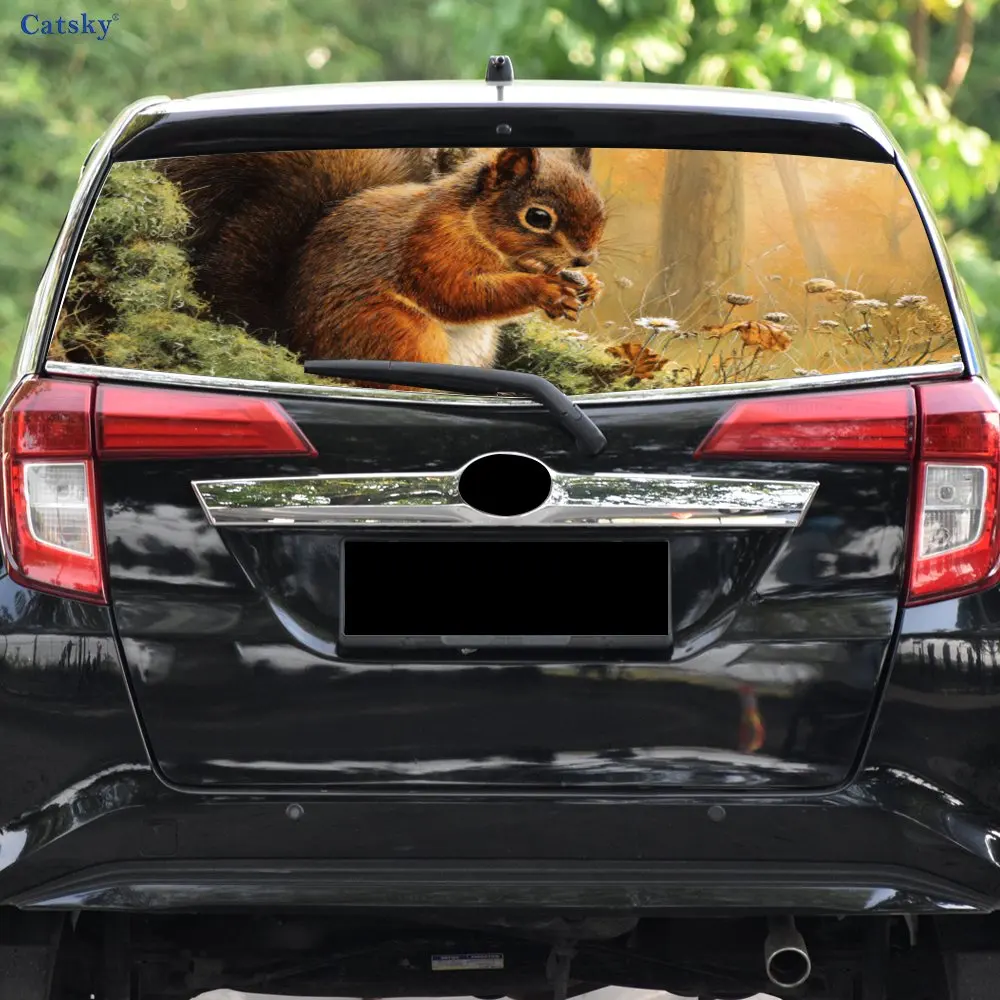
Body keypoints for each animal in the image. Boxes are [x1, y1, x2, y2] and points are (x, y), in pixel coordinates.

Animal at [160, 146, 607, 373]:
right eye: (538, 217)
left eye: (599, 205)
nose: (584, 259)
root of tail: (299, 347)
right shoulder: (426, 246)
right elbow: (455, 294)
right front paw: (545, 288)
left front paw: (588, 287)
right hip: (395, 331)